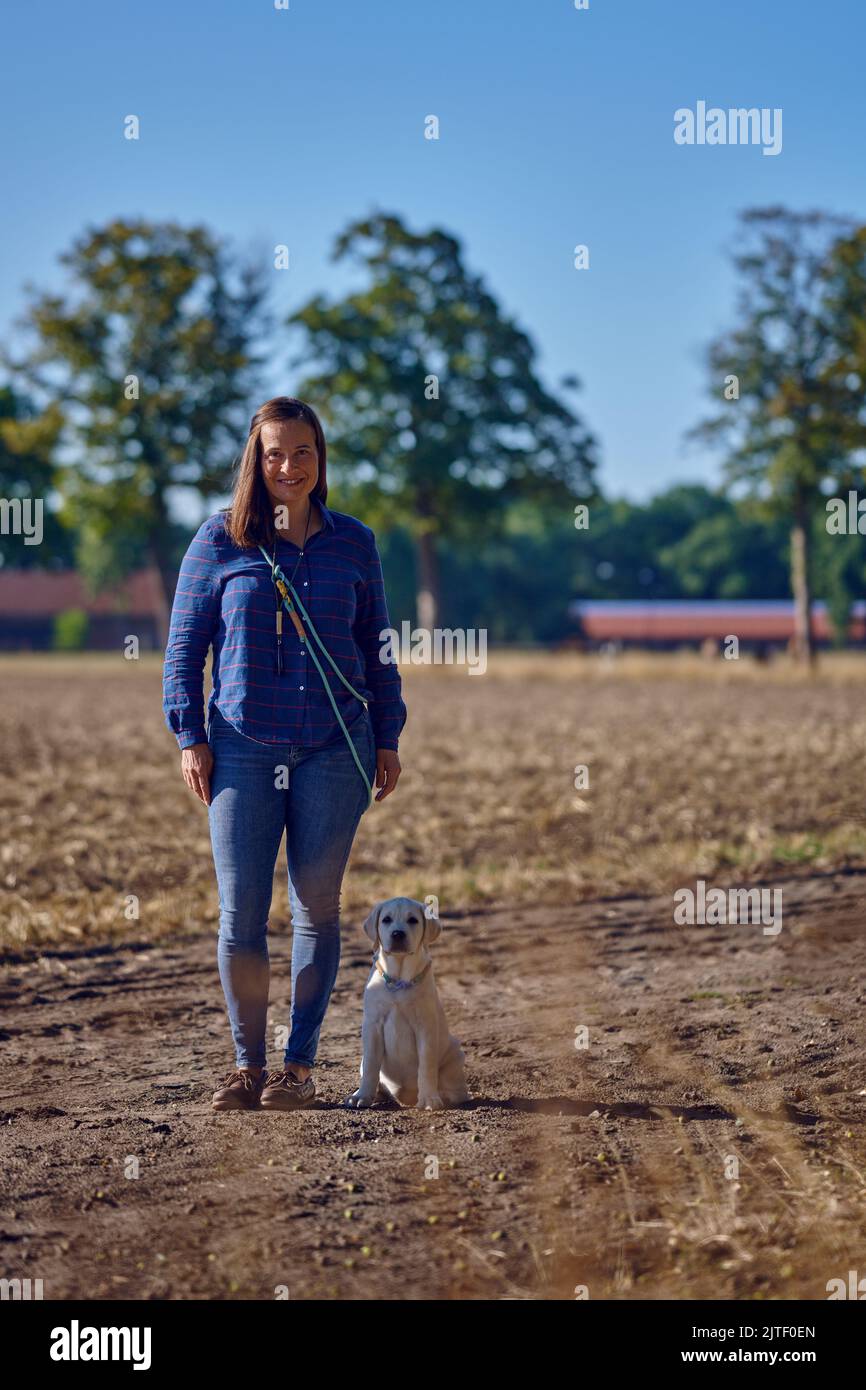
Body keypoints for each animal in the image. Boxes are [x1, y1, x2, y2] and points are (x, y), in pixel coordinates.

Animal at [341, 895, 469, 1112]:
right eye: (386, 920)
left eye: (413, 920)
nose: (398, 934)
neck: (398, 980)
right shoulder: (372, 1026)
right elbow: (371, 1066)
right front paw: (362, 1096)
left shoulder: (425, 1026)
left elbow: (426, 1066)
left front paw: (429, 1099)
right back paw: (377, 1094)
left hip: (454, 1053)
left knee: (456, 1088)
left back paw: (445, 1095)